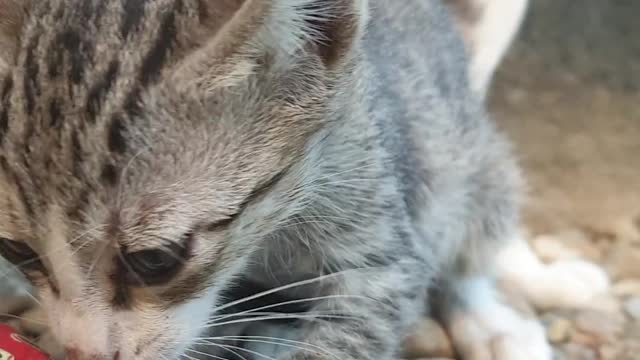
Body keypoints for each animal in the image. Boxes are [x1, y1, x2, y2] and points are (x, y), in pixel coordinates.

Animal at [1, 0, 552, 360]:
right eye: (14, 250)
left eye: (156, 260)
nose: (86, 352)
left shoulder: (379, 225)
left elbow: (373, 307)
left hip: (475, 166)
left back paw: (488, 321)